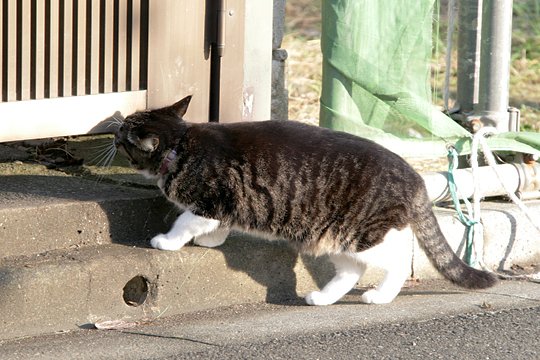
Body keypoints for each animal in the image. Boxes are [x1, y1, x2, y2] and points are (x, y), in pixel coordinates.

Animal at [114, 95, 498, 304]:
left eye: (123, 135)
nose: (115, 127)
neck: (181, 144)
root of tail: (414, 175)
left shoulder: (207, 200)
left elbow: (185, 221)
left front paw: (167, 241)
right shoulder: (223, 205)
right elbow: (214, 224)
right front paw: (213, 239)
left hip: (362, 233)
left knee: (399, 260)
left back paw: (380, 295)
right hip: (330, 236)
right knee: (352, 269)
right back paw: (322, 298)